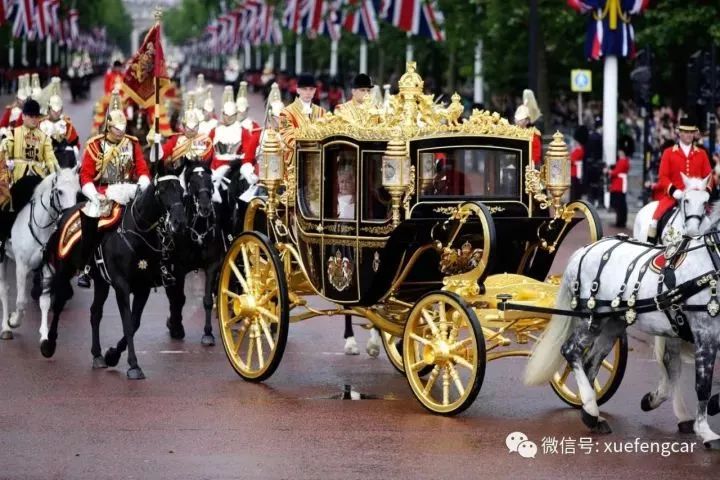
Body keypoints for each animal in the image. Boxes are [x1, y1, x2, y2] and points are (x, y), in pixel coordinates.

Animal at [0, 169, 80, 342]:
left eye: (77, 192)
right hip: (1, 259)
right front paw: (13, 321)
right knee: (4, 289)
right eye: (59, 191)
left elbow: (45, 302)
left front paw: (44, 335)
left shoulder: (47, 267)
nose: (69, 217)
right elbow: (21, 302)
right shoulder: (21, 267)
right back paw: (5, 328)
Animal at [41, 174, 188, 380]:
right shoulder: (121, 286)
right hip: (65, 270)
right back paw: (49, 344)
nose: (179, 222)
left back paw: (97, 355)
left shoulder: (143, 288)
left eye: (181, 191)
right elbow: (127, 322)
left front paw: (112, 355)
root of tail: (66, 213)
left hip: (101, 282)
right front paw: (133, 365)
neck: (138, 233)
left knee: (95, 312)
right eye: (163, 191)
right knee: (59, 303)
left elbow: (134, 323)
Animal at [165, 164, 224, 344]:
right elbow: (179, 298)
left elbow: (207, 300)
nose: (205, 207)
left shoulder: (212, 266)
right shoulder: (179, 268)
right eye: (192, 182)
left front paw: (208, 333)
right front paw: (177, 327)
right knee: (172, 296)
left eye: (209, 180)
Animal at [524, 213, 720, 446]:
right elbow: (702, 384)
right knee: (571, 351)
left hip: (612, 324)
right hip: (591, 319)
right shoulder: (705, 333)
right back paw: (591, 409)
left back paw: (591, 413)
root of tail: (583, 251)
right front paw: (706, 431)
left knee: (590, 362)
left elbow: (677, 373)